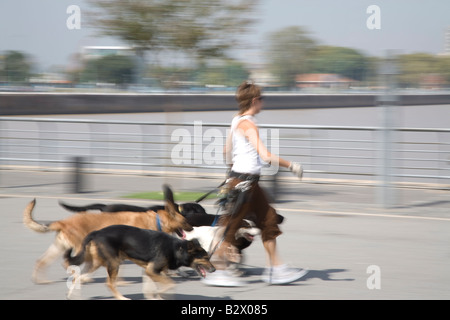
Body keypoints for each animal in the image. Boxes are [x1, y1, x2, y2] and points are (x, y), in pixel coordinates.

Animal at [22, 185, 192, 282]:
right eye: (185, 220)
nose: (191, 228)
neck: (157, 220)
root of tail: (63, 222)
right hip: (81, 249)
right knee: (71, 264)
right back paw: (81, 277)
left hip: (60, 247)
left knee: (41, 261)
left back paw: (41, 281)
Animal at [64, 225, 216, 300]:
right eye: (205, 258)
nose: (214, 269)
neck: (177, 248)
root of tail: (97, 232)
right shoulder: (152, 270)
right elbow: (169, 284)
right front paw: (161, 293)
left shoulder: (150, 271)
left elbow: (152, 290)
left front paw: (157, 297)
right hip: (113, 263)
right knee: (109, 284)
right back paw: (122, 298)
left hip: (95, 262)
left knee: (76, 277)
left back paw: (72, 296)